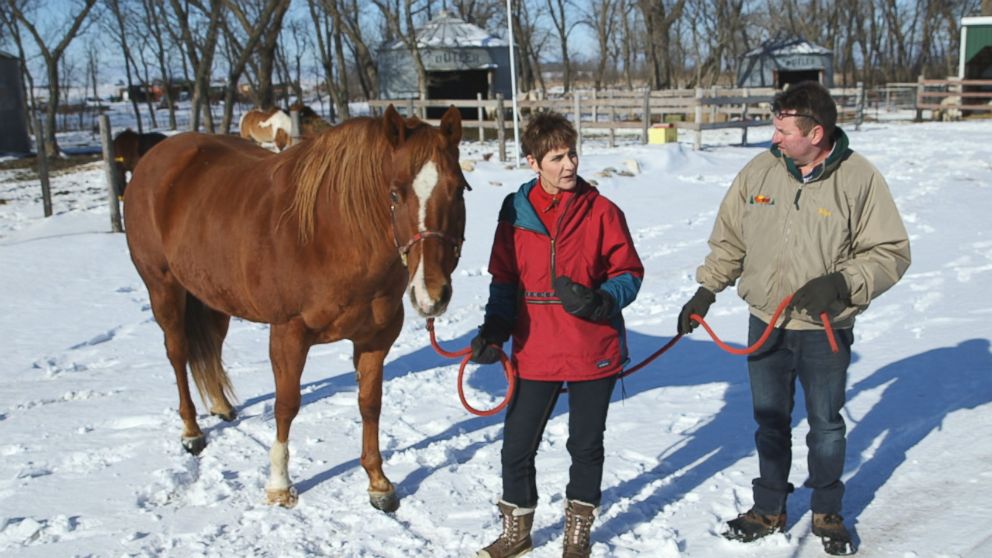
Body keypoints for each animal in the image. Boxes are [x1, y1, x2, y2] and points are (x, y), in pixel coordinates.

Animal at [122, 107, 466, 516]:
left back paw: (221, 406)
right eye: (395, 193)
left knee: (211, 346)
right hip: (164, 288)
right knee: (177, 353)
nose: (432, 294)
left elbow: (370, 405)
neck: (331, 235)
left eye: (460, 189)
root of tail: (154, 158)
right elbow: (287, 405)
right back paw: (191, 432)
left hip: (212, 296)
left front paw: (378, 484)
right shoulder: (289, 334)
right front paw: (279, 486)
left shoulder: (375, 339)